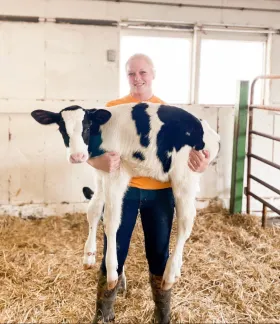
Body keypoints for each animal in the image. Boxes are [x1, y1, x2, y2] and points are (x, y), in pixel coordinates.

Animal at [31, 102, 221, 290]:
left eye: (87, 126)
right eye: (62, 129)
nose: (77, 156)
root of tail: (205, 127)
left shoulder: (116, 173)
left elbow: (111, 221)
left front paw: (111, 272)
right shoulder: (101, 173)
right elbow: (93, 211)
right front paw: (89, 255)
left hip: (184, 176)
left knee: (185, 222)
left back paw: (170, 273)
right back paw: (177, 270)